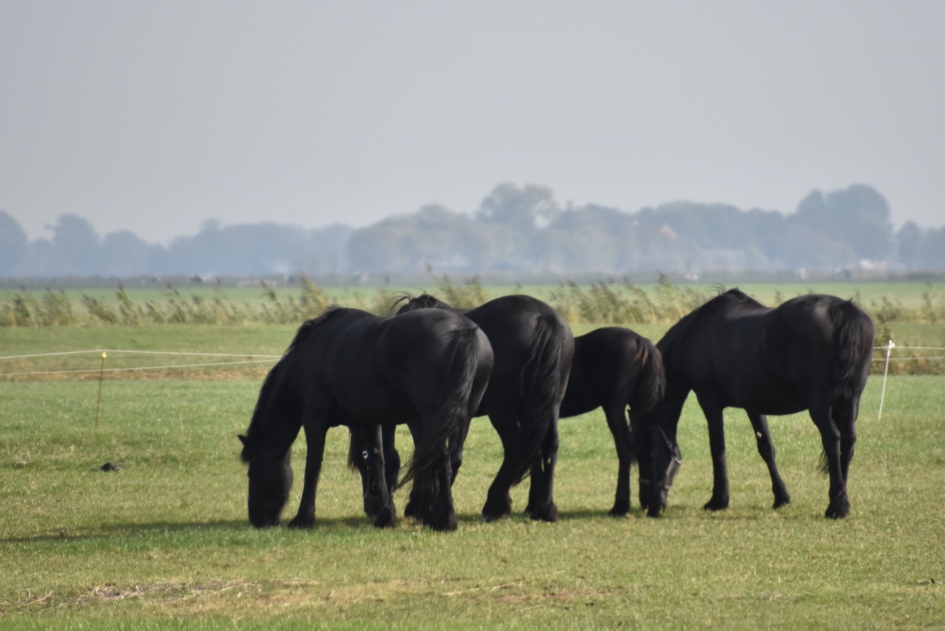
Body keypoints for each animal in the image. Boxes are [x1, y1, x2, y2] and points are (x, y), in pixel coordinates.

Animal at [238, 307, 493, 532]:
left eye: (252, 473)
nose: (258, 520)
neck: (311, 355)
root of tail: (463, 330)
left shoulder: (314, 421)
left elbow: (313, 468)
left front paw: (303, 519)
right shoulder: (367, 421)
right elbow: (377, 461)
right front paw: (385, 515)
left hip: (431, 417)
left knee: (440, 459)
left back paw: (443, 520)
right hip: (460, 416)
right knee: (452, 459)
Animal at [353, 294, 574, 522]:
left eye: (362, 461)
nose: (370, 507)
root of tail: (544, 317)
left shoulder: (418, 419)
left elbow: (423, 452)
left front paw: (418, 505)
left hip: (502, 410)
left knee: (517, 448)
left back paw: (494, 504)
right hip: (549, 403)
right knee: (545, 446)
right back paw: (542, 507)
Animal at [553, 326, 665, 516]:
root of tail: (640, 340)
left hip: (614, 409)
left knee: (625, 450)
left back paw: (620, 506)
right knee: (649, 449)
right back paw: (653, 505)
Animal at [644, 289, 874, 519]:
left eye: (650, 453)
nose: (648, 505)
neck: (693, 337)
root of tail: (841, 308)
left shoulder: (709, 401)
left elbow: (717, 449)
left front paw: (718, 500)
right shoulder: (753, 406)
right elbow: (766, 448)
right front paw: (781, 497)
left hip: (820, 404)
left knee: (832, 439)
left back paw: (836, 507)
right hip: (850, 401)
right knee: (848, 442)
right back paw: (842, 499)